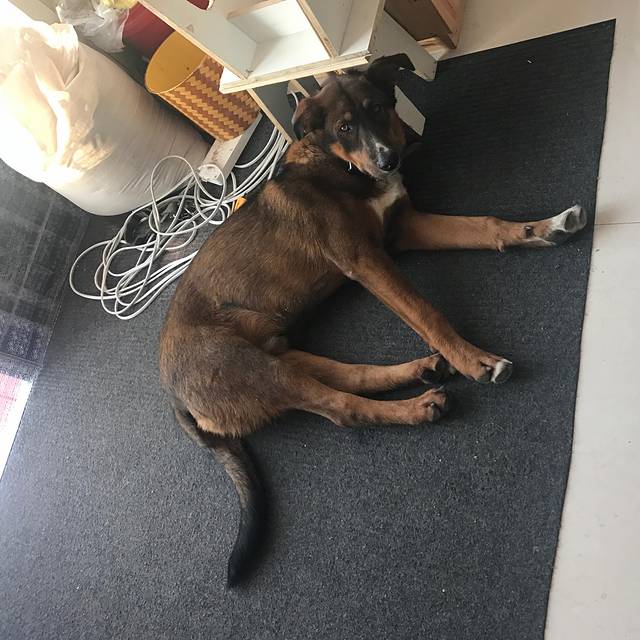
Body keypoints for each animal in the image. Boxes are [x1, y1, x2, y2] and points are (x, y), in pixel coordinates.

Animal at [159, 54, 587, 587]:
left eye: (379, 107)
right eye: (344, 127)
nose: (390, 160)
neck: (343, 168)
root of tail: (174, 396)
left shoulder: (404, 229)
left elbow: (484, 225)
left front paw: (543, 229)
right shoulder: (364, 260)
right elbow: (425, 310)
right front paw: (476, 361)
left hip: (275, 353)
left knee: (348, 375)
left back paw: (422, 370)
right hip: (250, 368)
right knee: (343, 409)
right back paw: (421, 406)